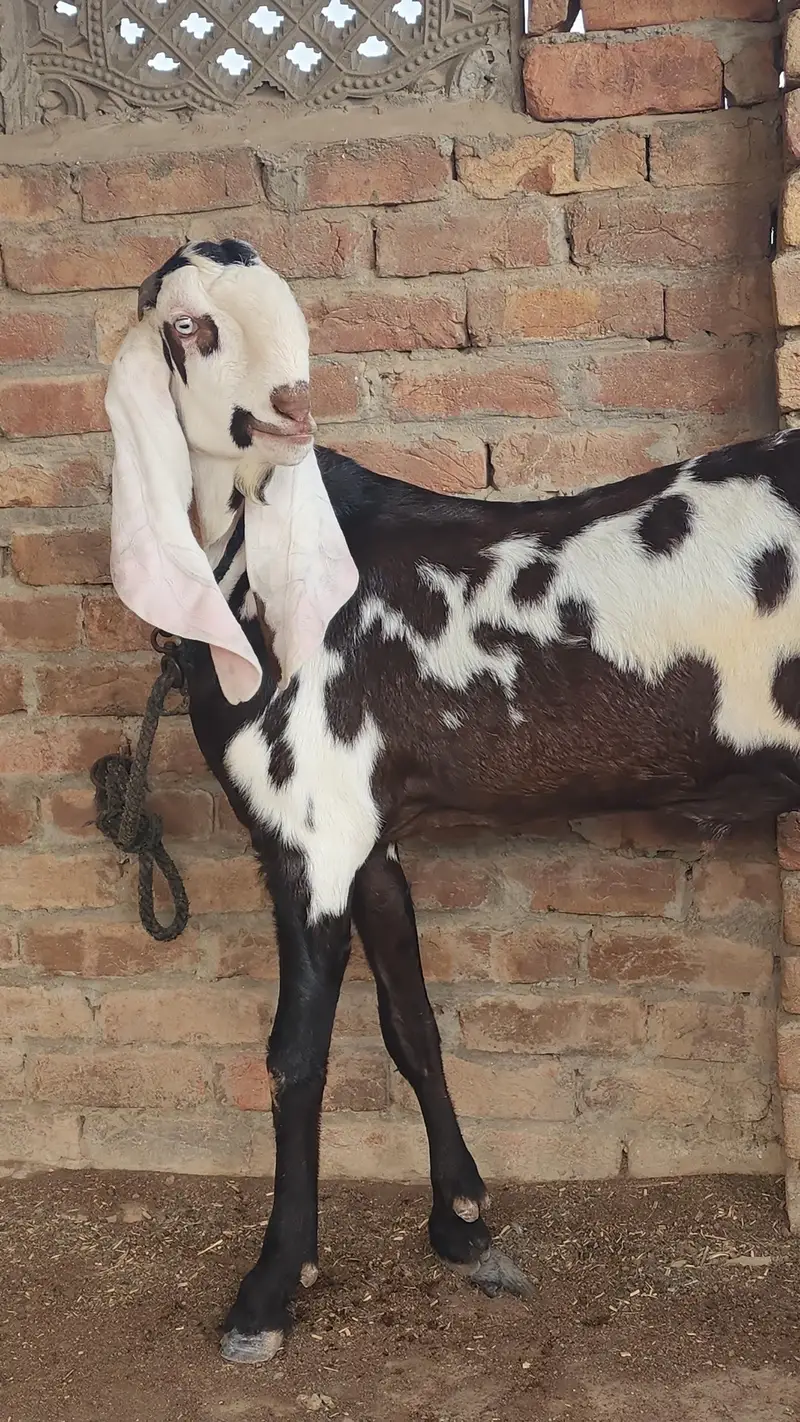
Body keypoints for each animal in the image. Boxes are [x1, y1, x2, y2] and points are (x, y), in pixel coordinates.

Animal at [106, 237, 800, 1364]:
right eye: (187, 326)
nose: (293, 406)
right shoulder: (367, 833)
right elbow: (411, 1022)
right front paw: (461, 1218)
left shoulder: (310, 829)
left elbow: (294, 1055)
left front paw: (268, 1291)